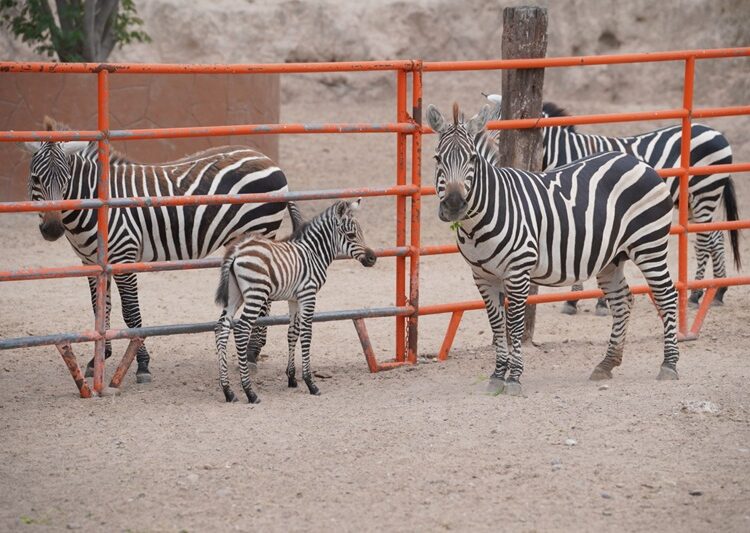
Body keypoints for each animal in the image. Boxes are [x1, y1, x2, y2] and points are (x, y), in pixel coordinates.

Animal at [24, 120, 296, 383]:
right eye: (35, 179)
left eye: (67, 179)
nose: (52, 230)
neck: (97, 202)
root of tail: (267, 159)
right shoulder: (92, 263)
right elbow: (100, 308)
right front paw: (99, 358)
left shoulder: (124, 257)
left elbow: (131, 313)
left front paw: (142, 364)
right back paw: (253, 350)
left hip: (260, 229)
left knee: (264, 296)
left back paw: (252, 352)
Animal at [214, 198, 377, 403]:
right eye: (351, 235)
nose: (373, 258)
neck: (314, 253)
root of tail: (236, 249)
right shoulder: (308, 294)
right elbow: (307, 334)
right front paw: (310, 382)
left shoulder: (293, 299)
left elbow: (293, 333)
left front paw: (291, 377)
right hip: (256, 293)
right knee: (242, 329)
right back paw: (250, 392)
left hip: (235, 295)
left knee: (221, 328)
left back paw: (228, 391)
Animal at [427, 102, 680, 395]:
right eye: (437, 159)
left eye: (472, 159)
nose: (455, 204)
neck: (480, 221)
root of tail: (638, 163)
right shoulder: (482, 276)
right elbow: (497, 325)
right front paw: (497, 375)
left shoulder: (518, 271)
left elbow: (514, 324)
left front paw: (514, 379)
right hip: (612, 258)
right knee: (622, 301)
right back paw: (606, 364)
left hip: (650, 245)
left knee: (668, 295)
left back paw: (669, 365)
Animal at [484, 94, 741, 315]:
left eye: (498, 132)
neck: (565, 153)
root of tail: (714, 131)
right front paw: (584, 300)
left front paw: (586, 301)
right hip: (694, 200)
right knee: (716, 236)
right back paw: (718, 290)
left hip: (704, 192)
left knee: (704, 240)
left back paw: (697, 294)